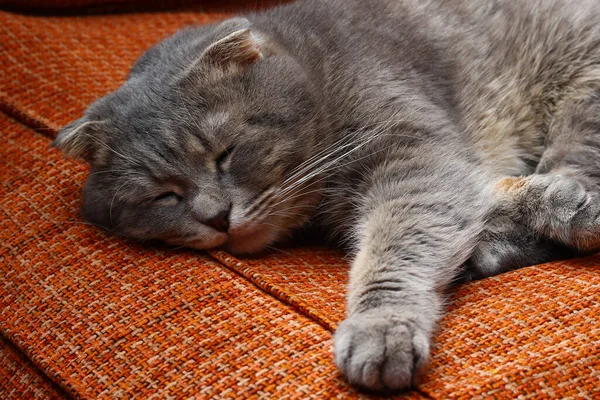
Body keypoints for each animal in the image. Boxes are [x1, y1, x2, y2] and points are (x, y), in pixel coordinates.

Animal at [52, 0, 600, 392]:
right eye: (163, 196)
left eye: (225, 154)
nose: (217, 217)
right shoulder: (441, 170)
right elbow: (484, 196)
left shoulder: (413, 160)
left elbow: (398, 247)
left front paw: (381, 328)